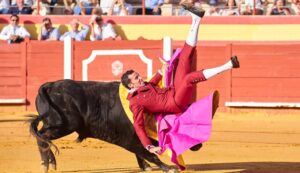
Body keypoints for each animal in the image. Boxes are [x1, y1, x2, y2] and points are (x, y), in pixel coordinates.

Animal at [29, 79, 180, 173]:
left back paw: (51, 163)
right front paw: (168, 168)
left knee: (42, 137)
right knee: (42, 137)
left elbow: (142, 153)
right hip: (64, 125)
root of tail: (50, 85)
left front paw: (146, 167)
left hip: (54, 124)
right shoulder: (129, 139)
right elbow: (148, 153)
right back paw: (46, 165)